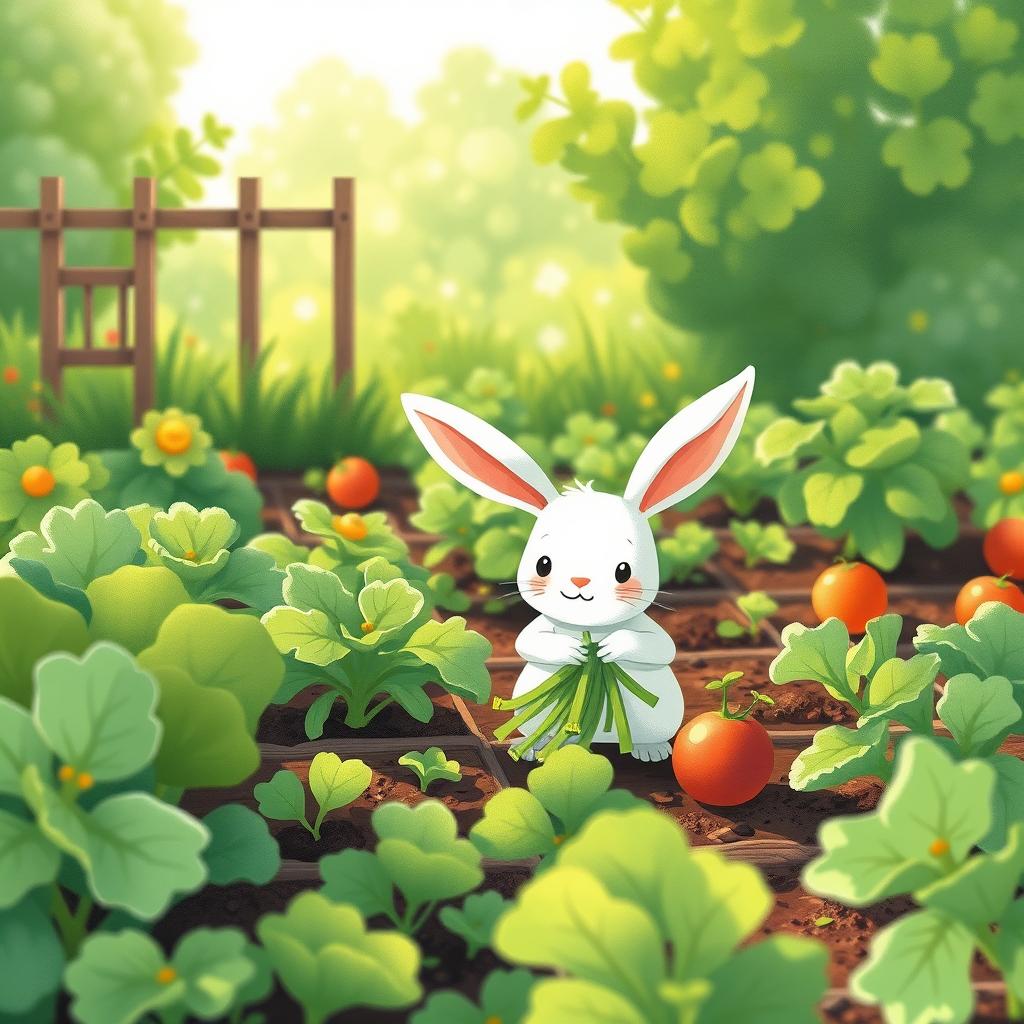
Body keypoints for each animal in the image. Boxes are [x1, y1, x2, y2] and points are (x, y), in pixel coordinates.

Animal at [399, 368, 753, 761]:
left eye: (623, 571)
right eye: (543, 565)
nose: (580, 582)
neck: (590, 628)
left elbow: (662, 646)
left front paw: (610, 648)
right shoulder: (539, 629)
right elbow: (527, 641)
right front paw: (574, 652)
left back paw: (649, 749)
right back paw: (535, 747)